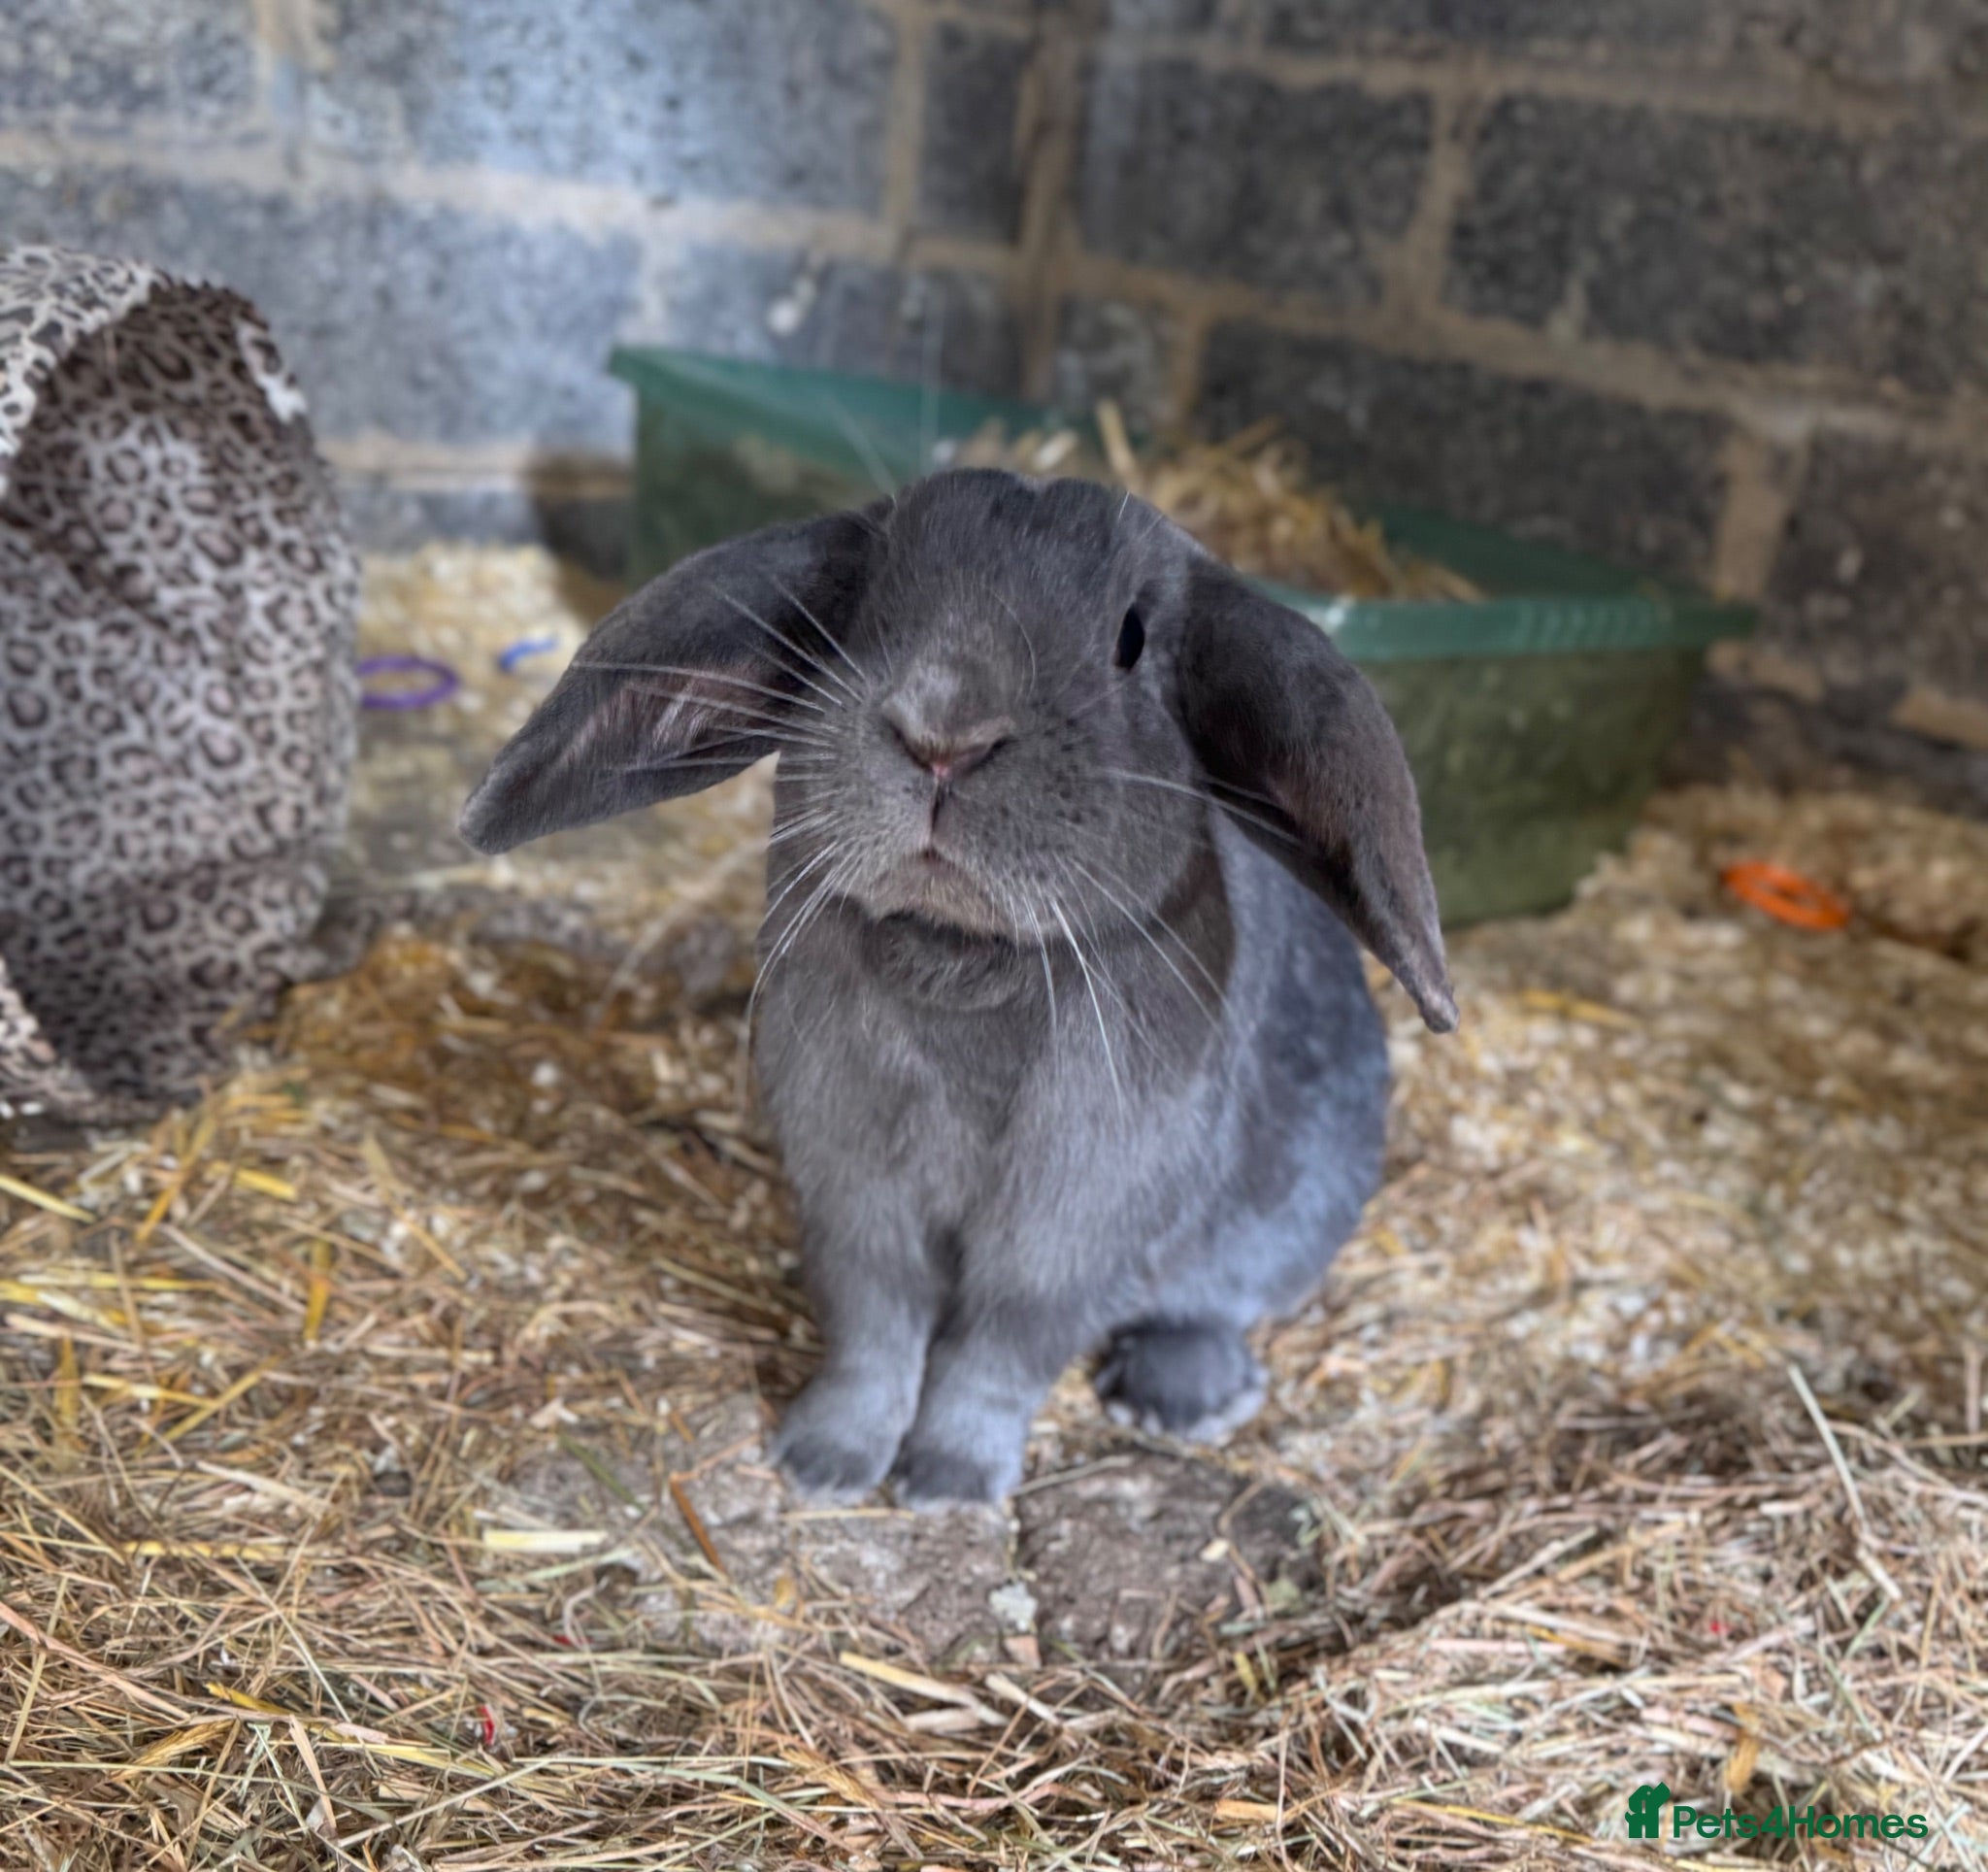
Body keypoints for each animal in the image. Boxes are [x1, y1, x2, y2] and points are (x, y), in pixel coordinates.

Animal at [460, 468, 1456, 1508]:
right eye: (867, 608)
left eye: (1132, 640)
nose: (941, 735)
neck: (960, 956)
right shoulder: (853, 1198)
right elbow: (873, 1332)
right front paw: (823, 1465)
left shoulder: (1065, 1233)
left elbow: (998, 1355)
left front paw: (947, 1483)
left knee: (1217, 1304)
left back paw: (1179, 1398)